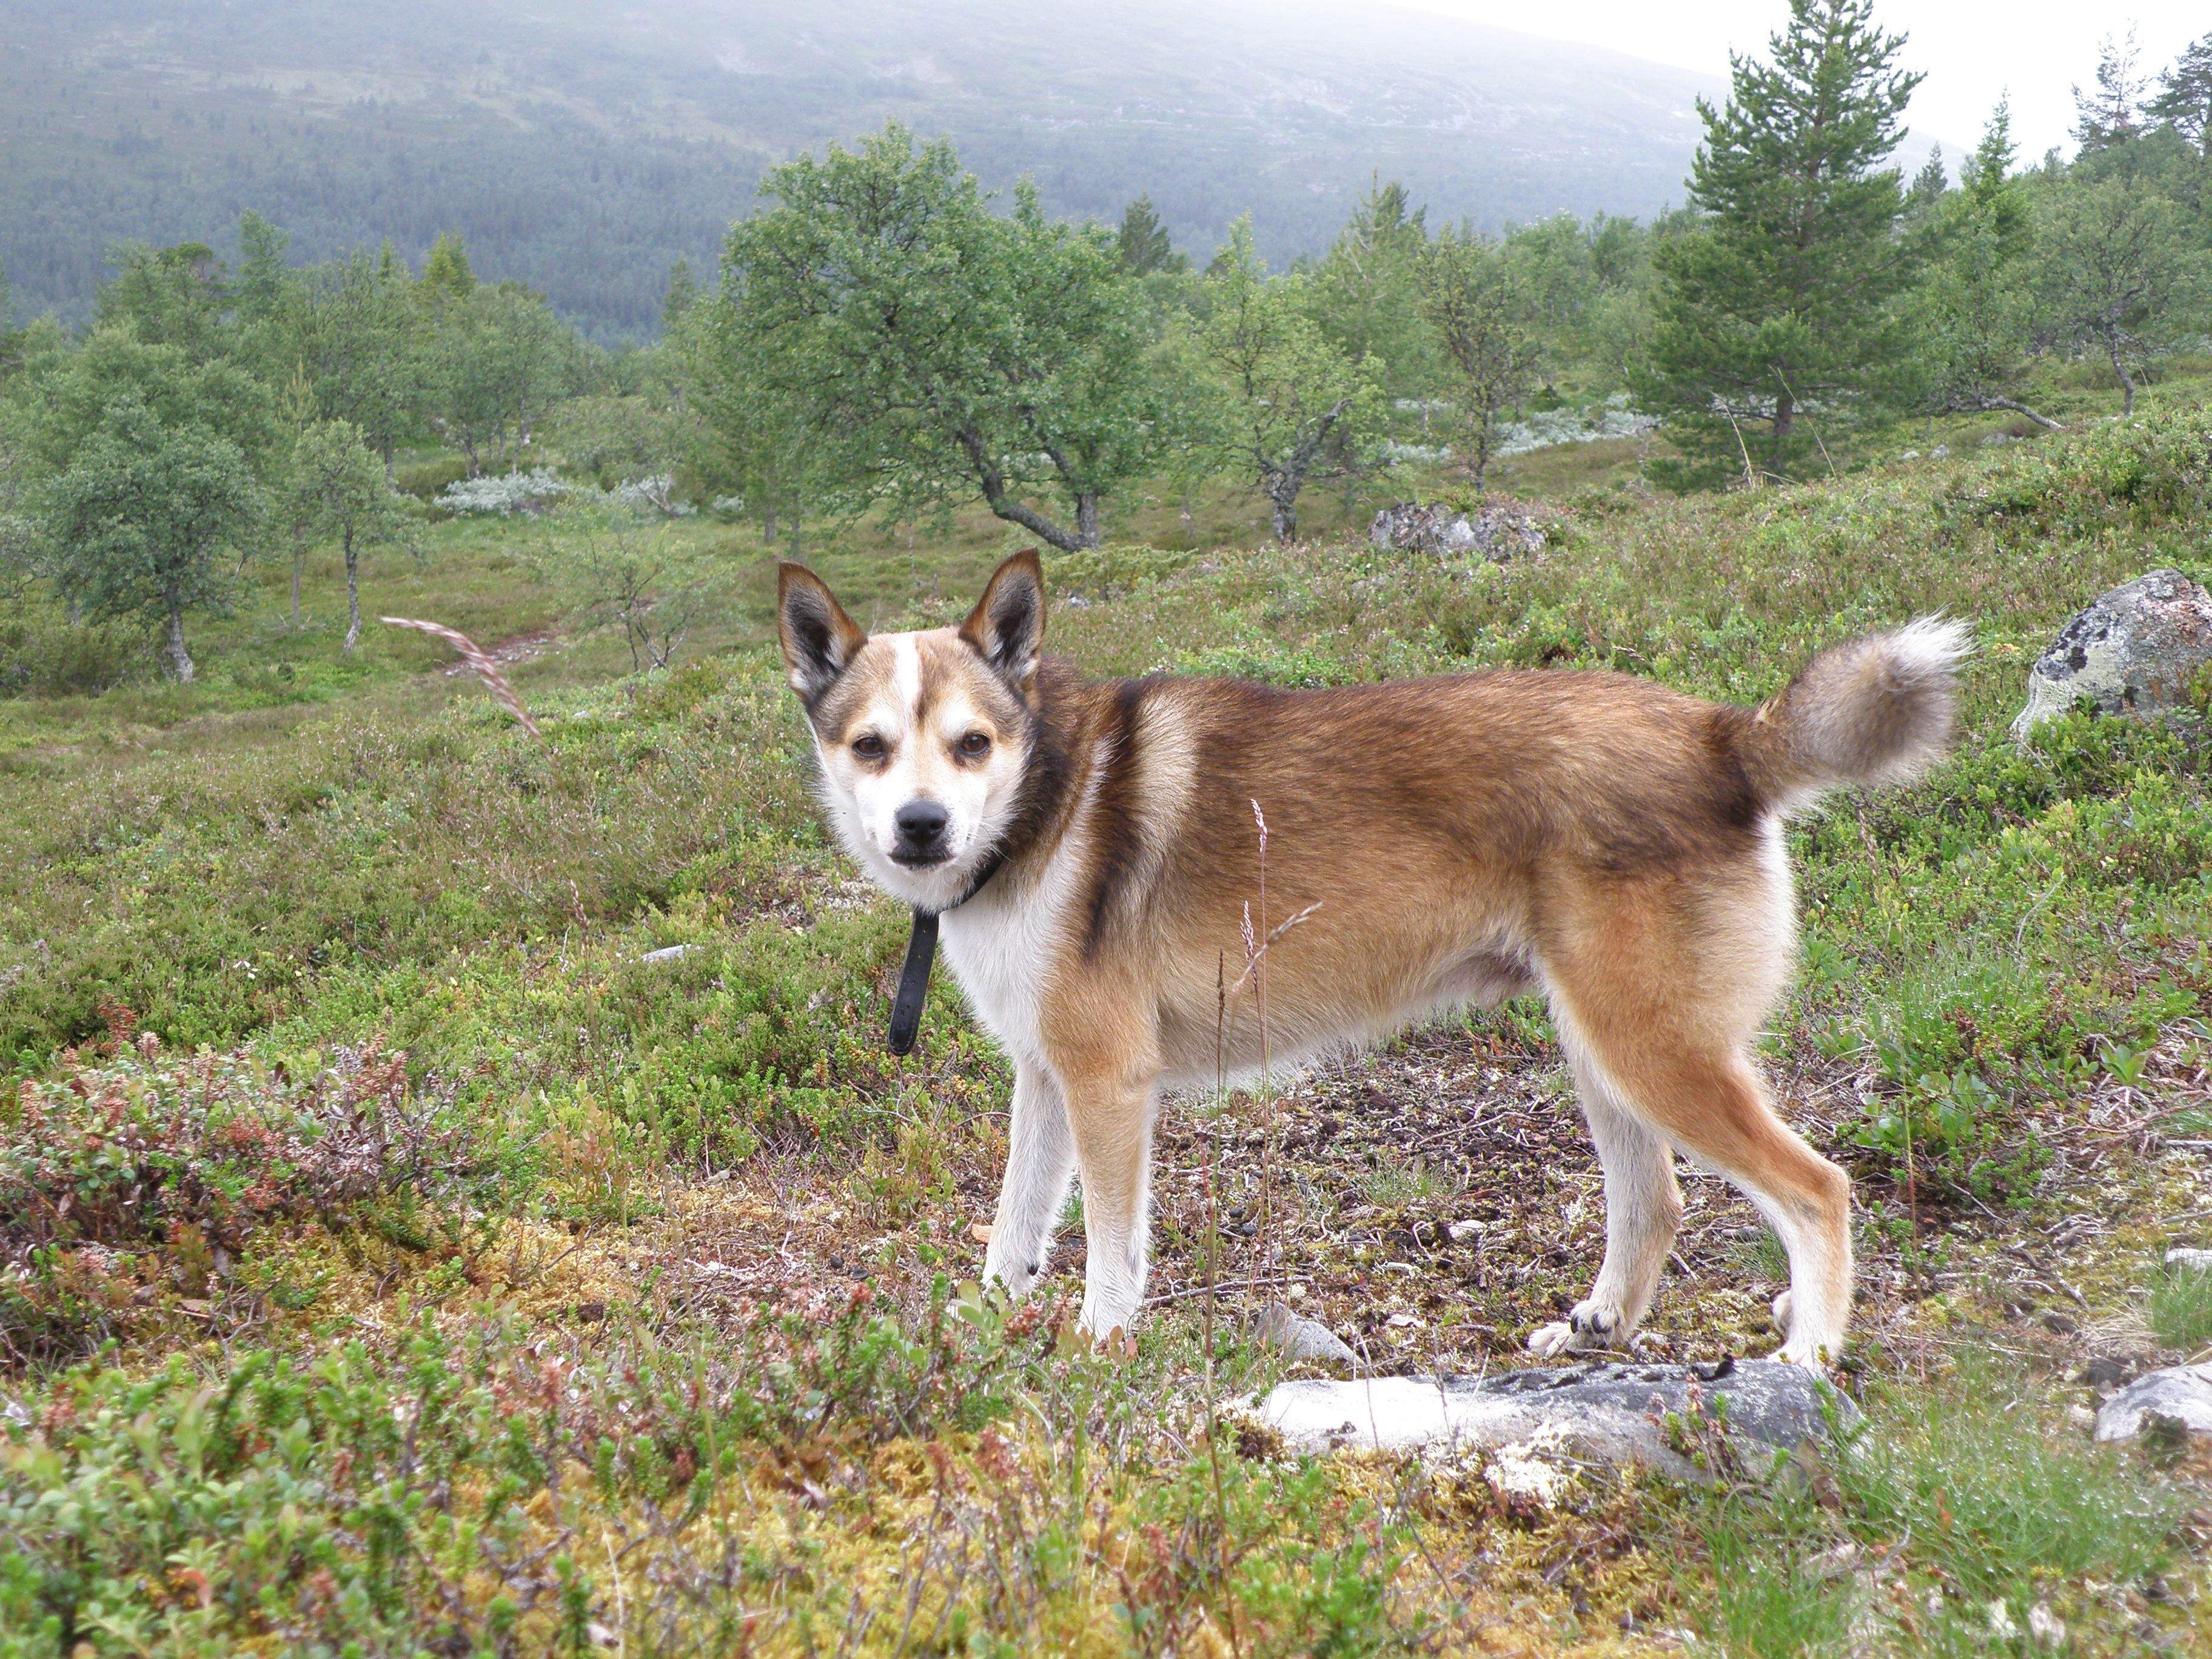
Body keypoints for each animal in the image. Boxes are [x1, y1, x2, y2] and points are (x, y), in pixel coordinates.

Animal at [783, 553, 1973, 1371]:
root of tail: (1722, 737)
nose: (923, 827)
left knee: (1817, 1191)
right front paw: (990, 1329)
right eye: (871, 747)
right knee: (1655, 1204)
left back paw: (1809, 1355)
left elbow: (1111, 1252)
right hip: (1605, 1050)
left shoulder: (1109, 1087)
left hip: (1653, 1052)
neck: (1045, 797)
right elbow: (1015, 1228)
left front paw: (1097, 1347)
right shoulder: (1046, 1079)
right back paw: (1597, 1326)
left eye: (972, 743)